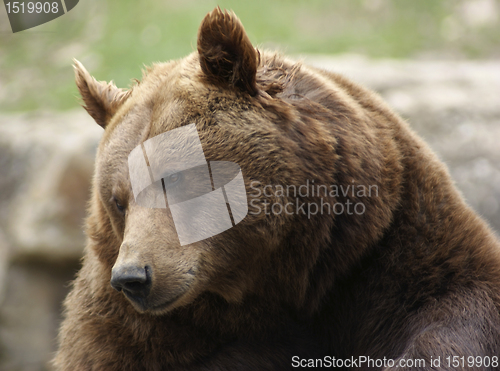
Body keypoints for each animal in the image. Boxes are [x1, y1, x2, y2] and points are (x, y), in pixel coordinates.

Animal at [52, 6, 500, 371]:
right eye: (118, 200)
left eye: (175, 177)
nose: (133, 276)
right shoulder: (131, 328)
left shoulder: (383, 240)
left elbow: (452, 302)